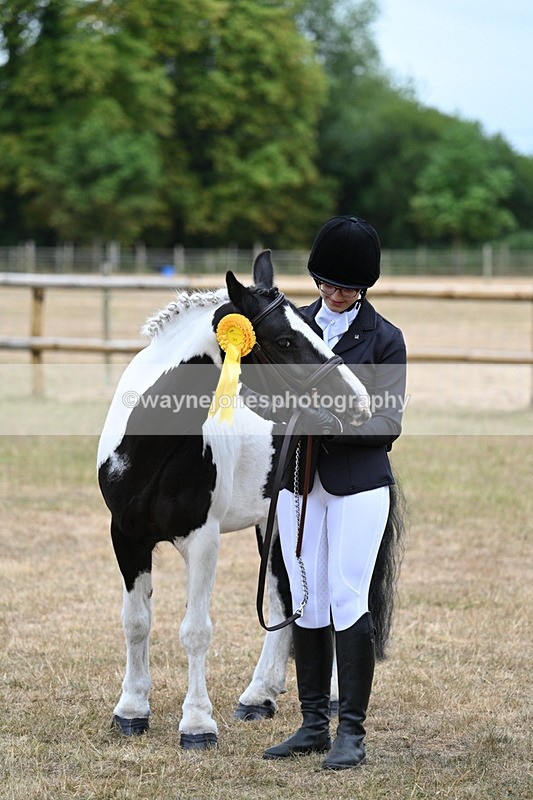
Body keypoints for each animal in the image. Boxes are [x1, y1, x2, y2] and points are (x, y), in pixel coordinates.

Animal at [97, 250, 386, 749]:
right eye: (286, 340)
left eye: (313, 328)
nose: (359, 402)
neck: (152, 445)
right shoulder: (127, 537)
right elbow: (136, 621)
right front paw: (131, 710)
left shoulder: (203, 540)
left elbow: (196, 630)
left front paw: (196, 724)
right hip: (273, 528)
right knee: (284, 604)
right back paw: (260, 696)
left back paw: (323, 697)